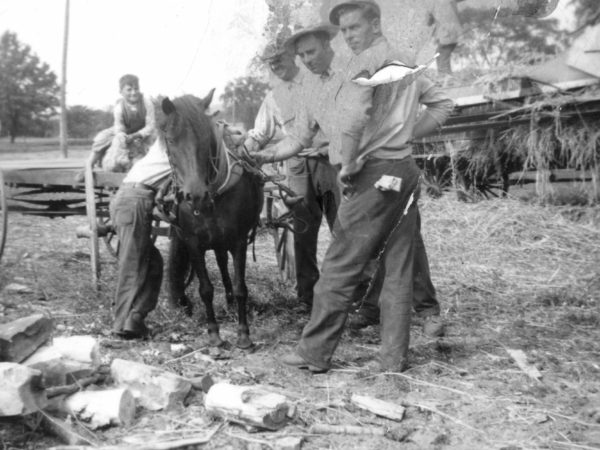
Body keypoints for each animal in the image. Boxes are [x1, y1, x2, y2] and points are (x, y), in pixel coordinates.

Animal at [159, 91, 262, 348]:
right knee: (221, 262)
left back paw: (230, 301)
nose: (195, 195)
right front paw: (214, 334)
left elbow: (241, 287)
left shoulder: (238, 240)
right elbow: (205, 289)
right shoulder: (193, 242)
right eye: (170, 140)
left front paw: (243, 334)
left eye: (205, 137)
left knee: (225, 266)